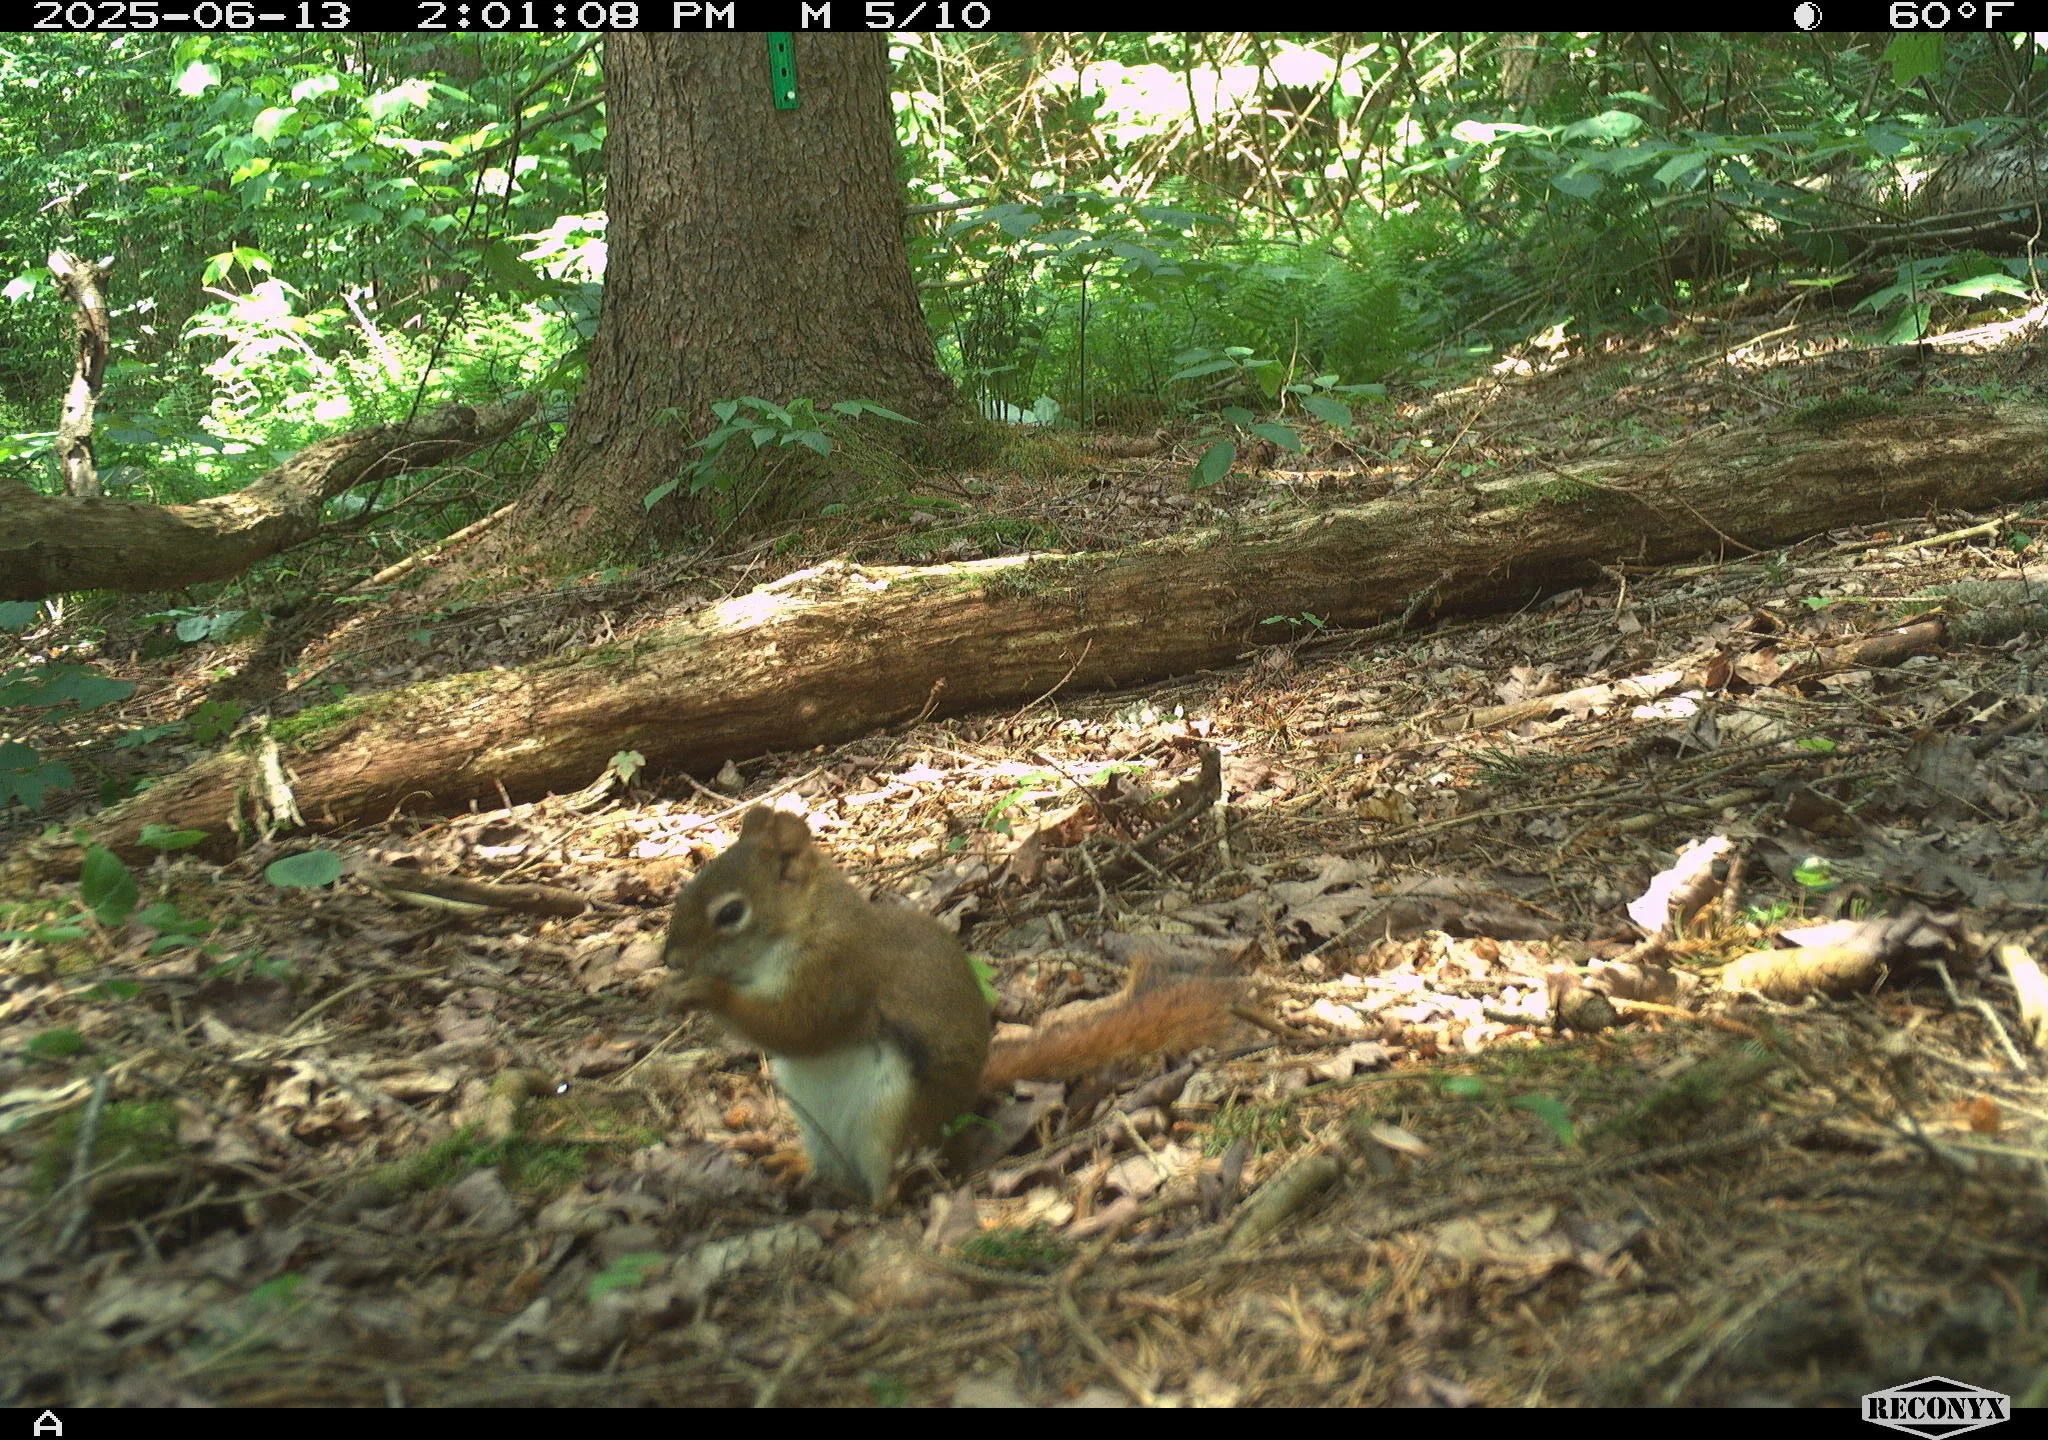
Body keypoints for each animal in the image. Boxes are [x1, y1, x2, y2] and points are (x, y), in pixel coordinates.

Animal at [655, 806, 1237, 1205]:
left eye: (730, 913)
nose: (669, 958)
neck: (806, 922)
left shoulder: (839, 974)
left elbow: (799, 1026)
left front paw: (703, 992)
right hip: (812, 1118)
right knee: (830, 1164)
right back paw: (797, 1164)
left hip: (890, 1115)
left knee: (885, 1179)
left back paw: (878, 1201)